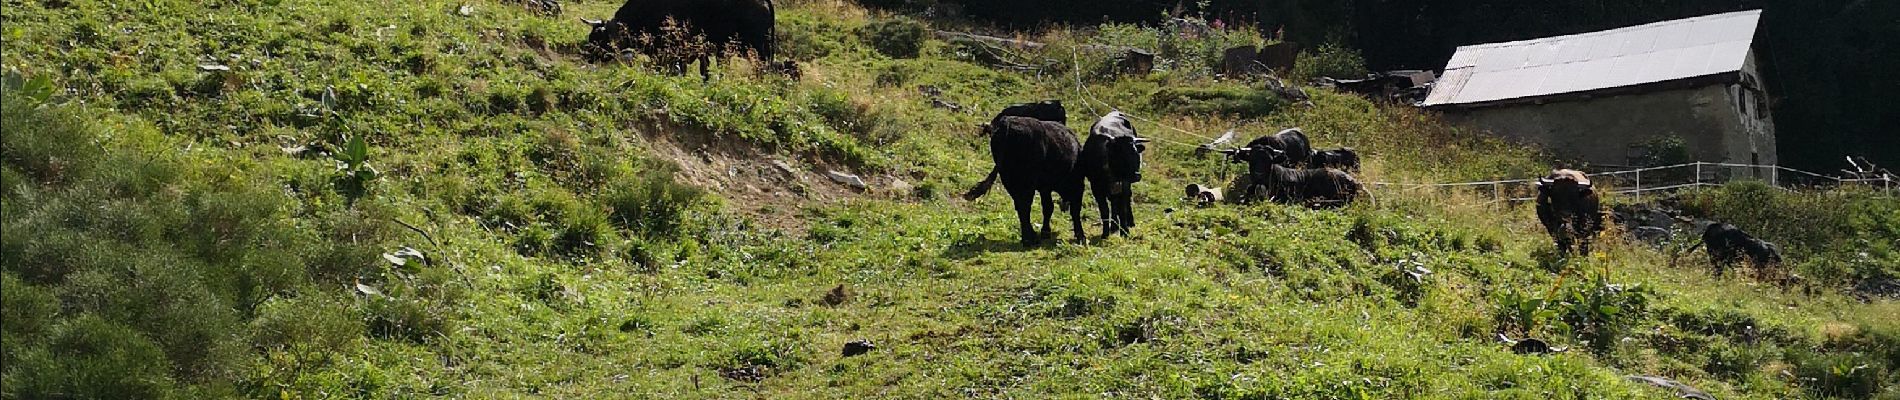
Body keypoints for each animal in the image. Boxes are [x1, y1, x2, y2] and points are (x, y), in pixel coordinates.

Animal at [965, 114, 1086, 246]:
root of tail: (1007, 122)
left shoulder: (1045, 188)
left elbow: (1048, 207)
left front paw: (1045, 232)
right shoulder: (1076, 187)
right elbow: (1074, 210)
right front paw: (1081, 236)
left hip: (1009, 180)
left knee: (1020, 206)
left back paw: (1028, 237)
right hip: (1026, 182)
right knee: (1024, 206)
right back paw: (1029, 239)